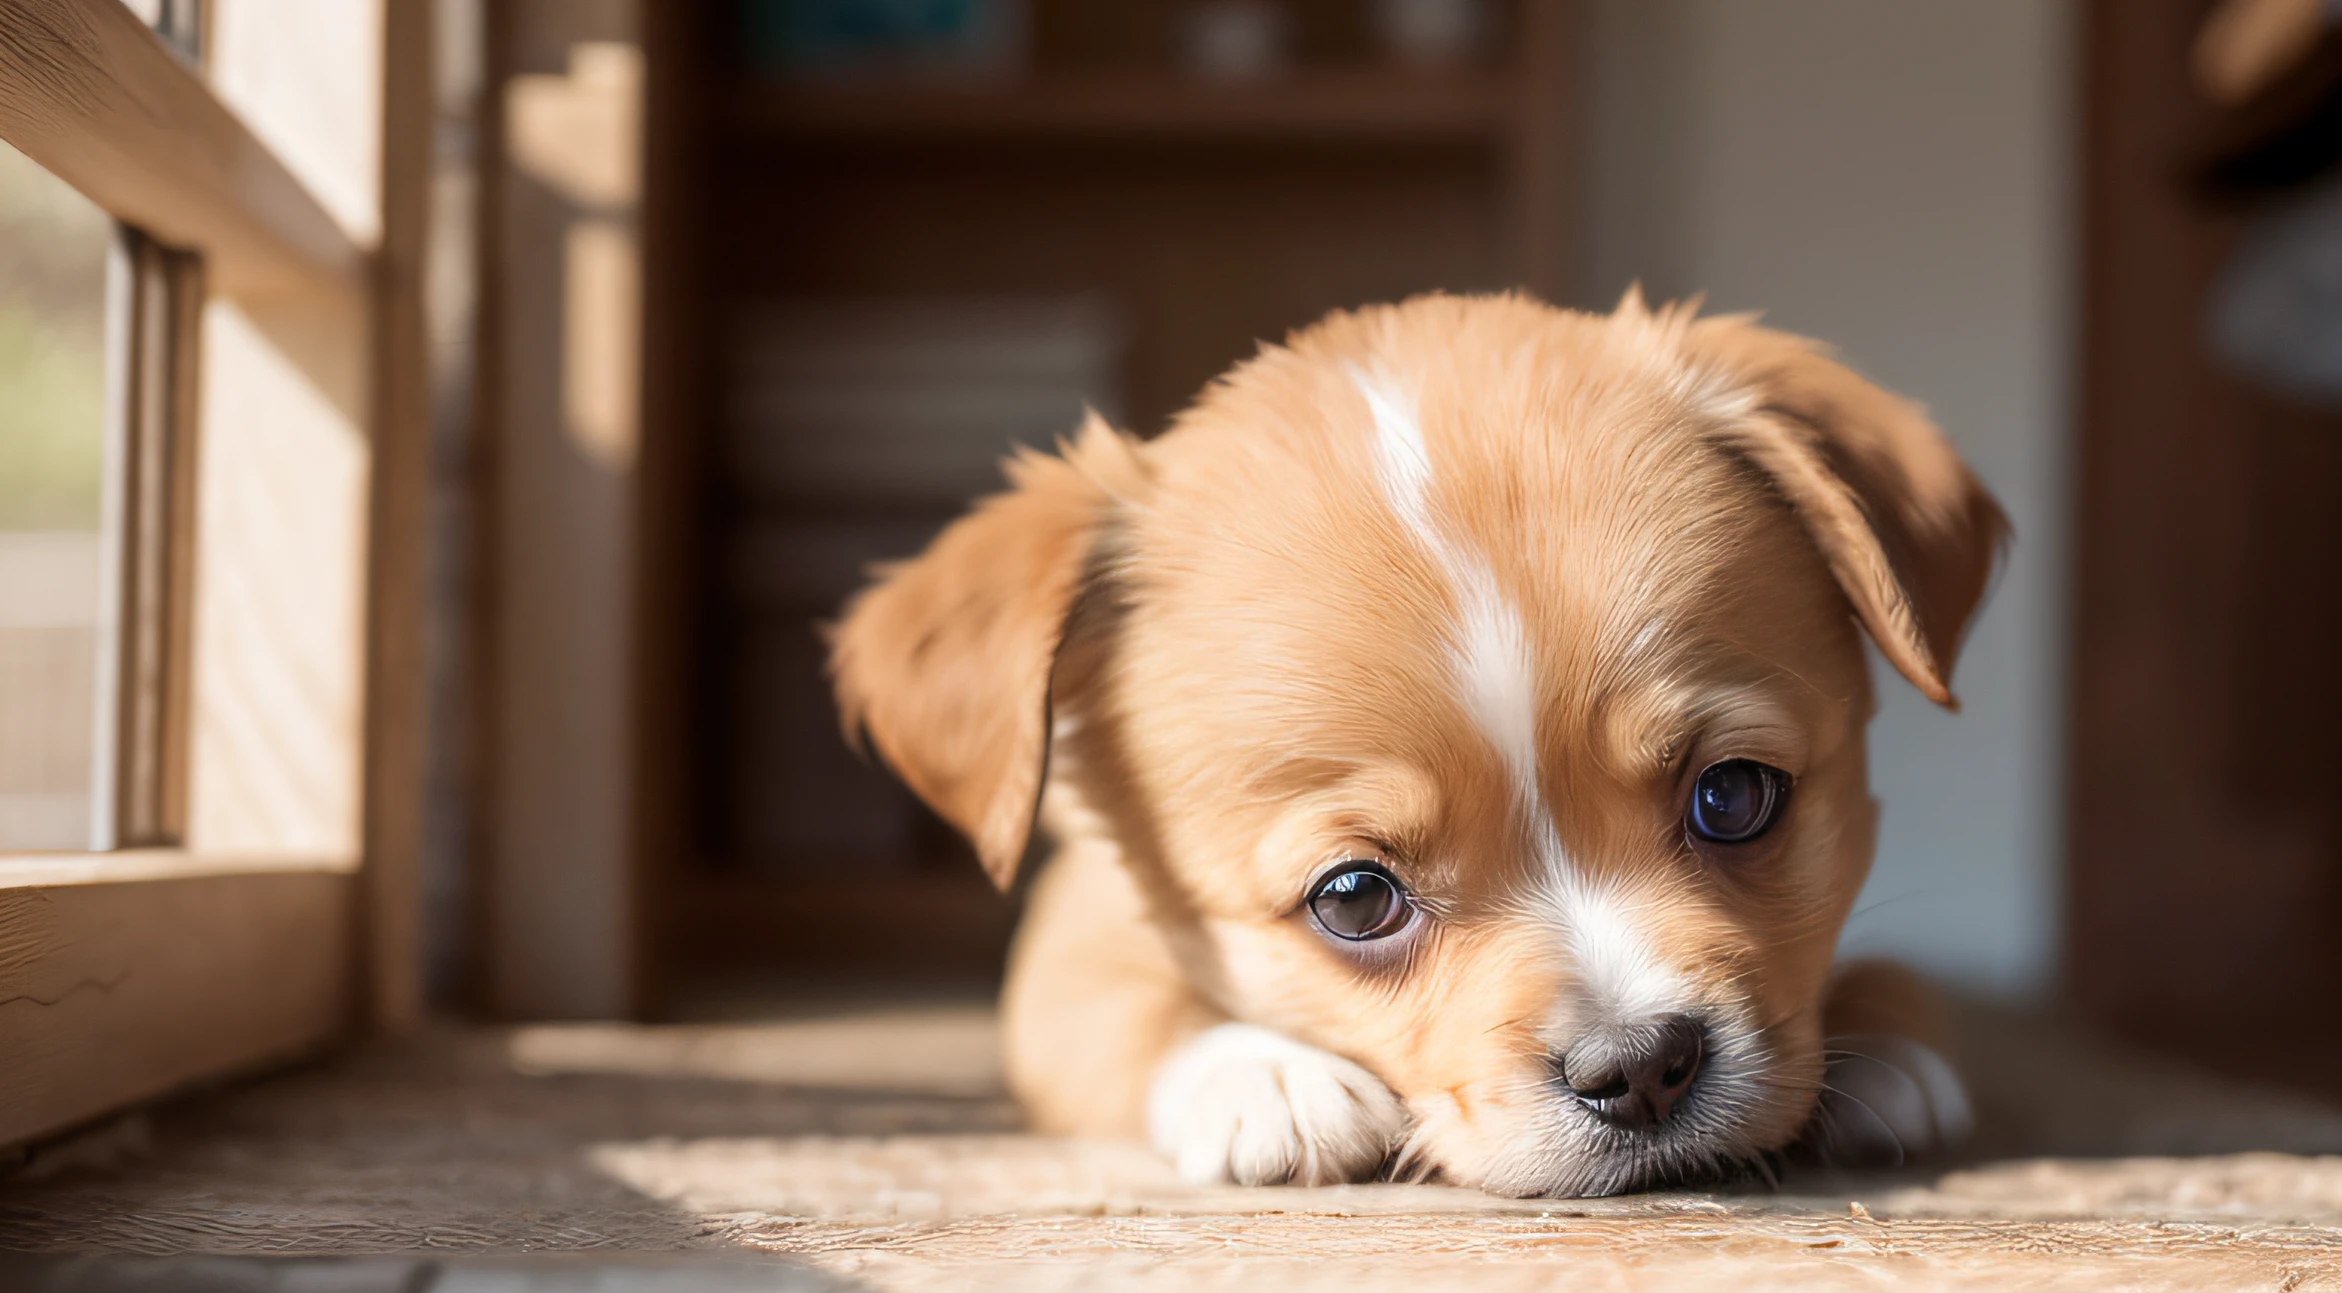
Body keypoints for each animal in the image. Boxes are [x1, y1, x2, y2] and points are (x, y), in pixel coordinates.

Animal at [833, 290, 2004, 1189]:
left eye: (1733, 798)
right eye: (1353, 899)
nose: (1637, 1065)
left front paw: (1889, 1039)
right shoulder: (1070, 950)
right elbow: (1130, 1012)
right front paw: (1264, 1076)